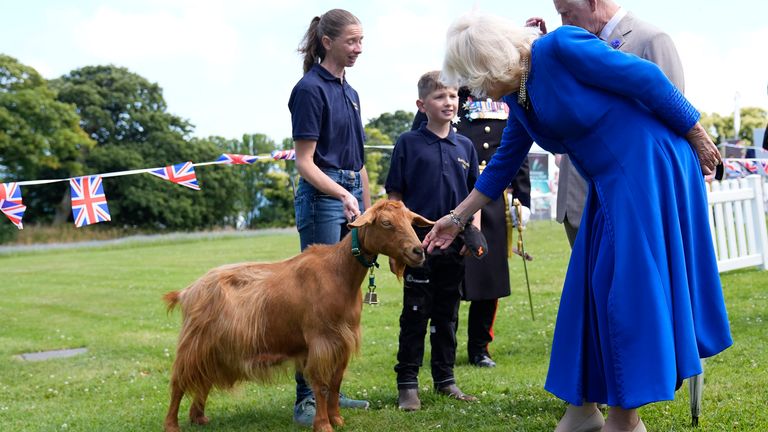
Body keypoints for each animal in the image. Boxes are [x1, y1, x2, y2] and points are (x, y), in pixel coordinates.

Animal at [162, 201, 432, 432]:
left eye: (411, 221)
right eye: (386, 222)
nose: (418, 251)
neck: (338, 273)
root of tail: (187, 291)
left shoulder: (342, 342)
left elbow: (335, 384)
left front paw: (337, 419)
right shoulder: (321, 341)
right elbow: (321, 385)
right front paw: (323, 424)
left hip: (215, 347)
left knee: (203, 378)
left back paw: (198, 417)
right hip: (194, 342)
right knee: (178, 381)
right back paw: (172, 425)